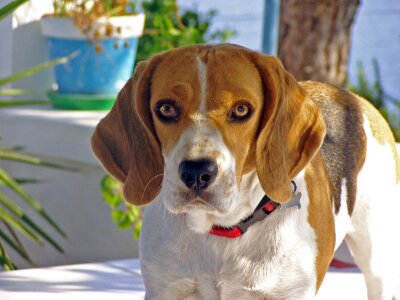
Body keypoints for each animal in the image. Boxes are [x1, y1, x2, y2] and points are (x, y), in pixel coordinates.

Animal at [91, 43, 400, 298]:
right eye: (166, 109)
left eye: (241, 110)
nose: (196, 172)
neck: (221, 232)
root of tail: (353, 98)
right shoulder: (166, 289)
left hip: (377, 262)